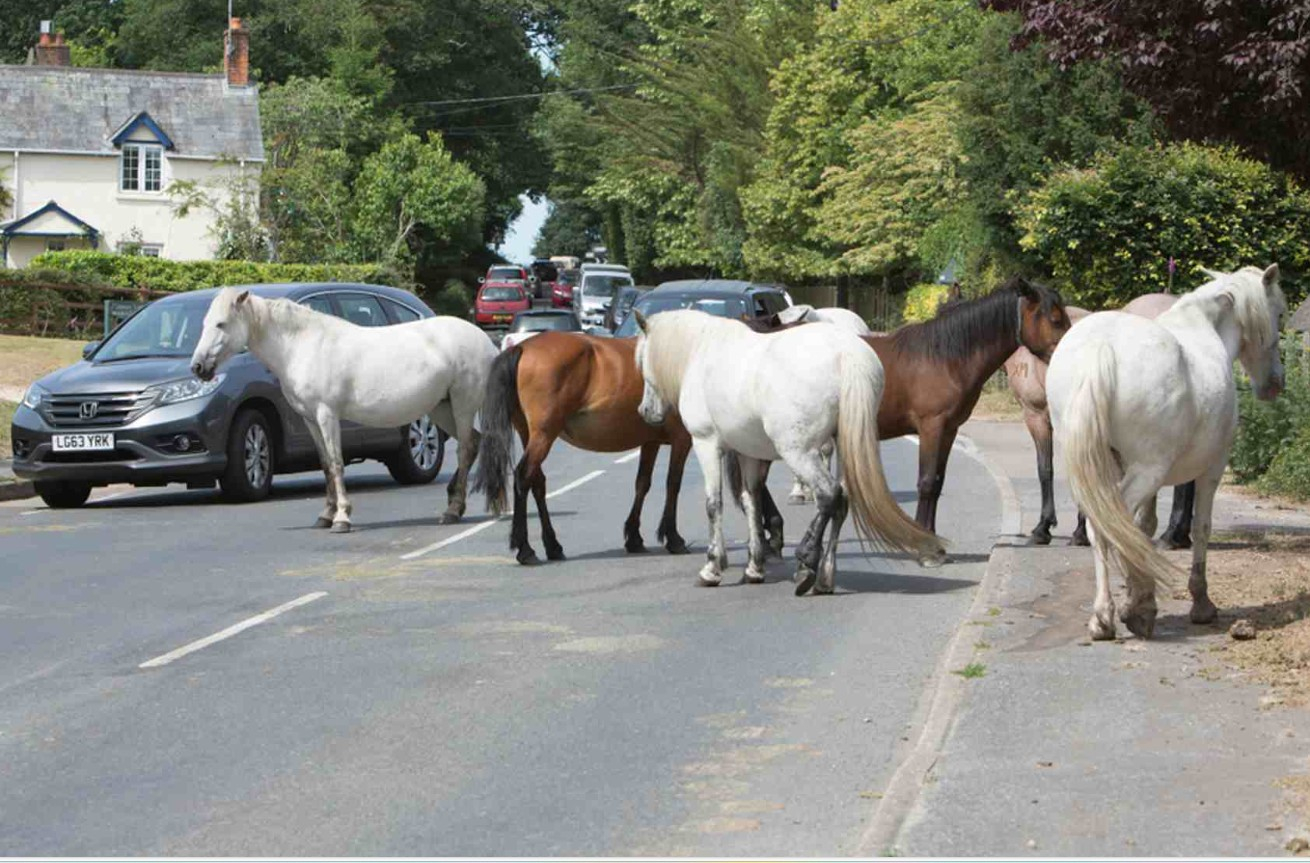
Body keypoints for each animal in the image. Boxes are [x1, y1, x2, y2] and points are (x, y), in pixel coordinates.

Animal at [190, 286, 495, 533]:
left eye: (221, 324)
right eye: (203, 323)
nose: (198, 367)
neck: (301, 346)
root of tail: (485, 342)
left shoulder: (327, 414)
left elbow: (336, 463)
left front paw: (342, 518)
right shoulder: (310, 418)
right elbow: (326, 464)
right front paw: (325, 515)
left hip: (462, 405)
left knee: (466, 448)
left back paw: (452, 510)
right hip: (441, 408)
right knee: (474, 442)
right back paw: (455, 500)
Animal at [633, 308, 944, 595]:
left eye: (642, 361)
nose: (645, 412)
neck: (702, 353)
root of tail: (847, 356)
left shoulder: (706, 443)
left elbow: (714, 504)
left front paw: (712, 568)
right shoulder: (747, 453)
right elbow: (751, 501)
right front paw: (754, 567)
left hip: (798, 452)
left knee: (829, 495)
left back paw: (807, 562)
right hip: (843, 446)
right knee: (842, 500)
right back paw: (824, 577)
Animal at [1047, 265, 1286, 640]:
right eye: (1279, 314)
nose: (1275, 384)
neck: (1203, 324)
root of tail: (1101, 348)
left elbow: (1143, 527)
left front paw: (1137, 595)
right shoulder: (1212, 469)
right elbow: (1201, 527)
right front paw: (1198, 603)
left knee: (1101, 526)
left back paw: (1105, 617)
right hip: (1148, 470)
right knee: (1111, 524)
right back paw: (1120, 613)